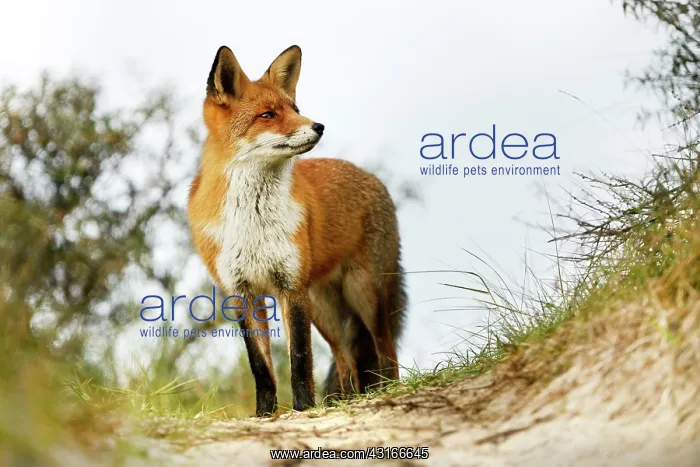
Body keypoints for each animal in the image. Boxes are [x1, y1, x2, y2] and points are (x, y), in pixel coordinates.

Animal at [187, 44, 406, 416]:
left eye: (295, 109)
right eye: (267, 115)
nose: (318, 126)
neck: (253, 222)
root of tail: (370, 176)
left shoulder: (291, 287)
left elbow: (300, 358)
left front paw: (304, 407)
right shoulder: (241, 292)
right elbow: (260, 366)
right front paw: (264, 414)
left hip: (365, 293)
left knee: (385, 348)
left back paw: (386, 392)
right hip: (325, 310)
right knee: (345, 359)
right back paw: (346, 401)